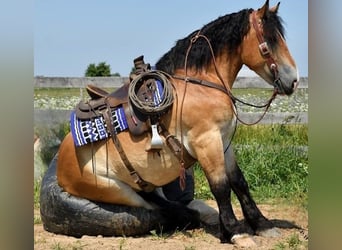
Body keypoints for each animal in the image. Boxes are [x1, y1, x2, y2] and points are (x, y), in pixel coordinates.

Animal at [54, 0, 300, 245]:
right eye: (270, 41)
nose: (294, 80)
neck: (201, 85)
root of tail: (60, 169)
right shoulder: (206, 142)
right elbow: (220, 187)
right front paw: (236, 232)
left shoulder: (224, 142)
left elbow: (239, 182)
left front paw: (262, 225)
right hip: (120, 191)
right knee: (158, 208)